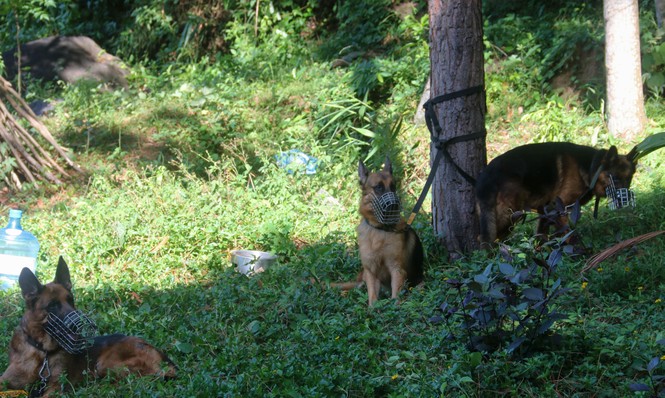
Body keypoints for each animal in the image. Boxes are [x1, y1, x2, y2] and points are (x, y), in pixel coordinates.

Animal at [0, 256, 175, 396]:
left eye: (70, 300)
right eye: (53, 306)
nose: (80, 324)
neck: (43, 352)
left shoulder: (56, 387)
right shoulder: (6, 380)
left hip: (104, 364)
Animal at [334, 157, 422, 306]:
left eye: (393, 187)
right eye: (378, 187)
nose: (394, 205)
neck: (380, 230)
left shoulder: (397, 270)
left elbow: (395, 297)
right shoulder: (371, 271)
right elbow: (373, 298)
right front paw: (373, 309)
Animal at [474, 141, 636, 244]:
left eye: (629, 179)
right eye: (615, 178)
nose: (625, 201)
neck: (591, 168)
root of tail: (487, 174)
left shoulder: (546, 211)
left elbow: (541, 234)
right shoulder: (559, 208)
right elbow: (567, 233)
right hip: (510, 215)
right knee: (485, 238)